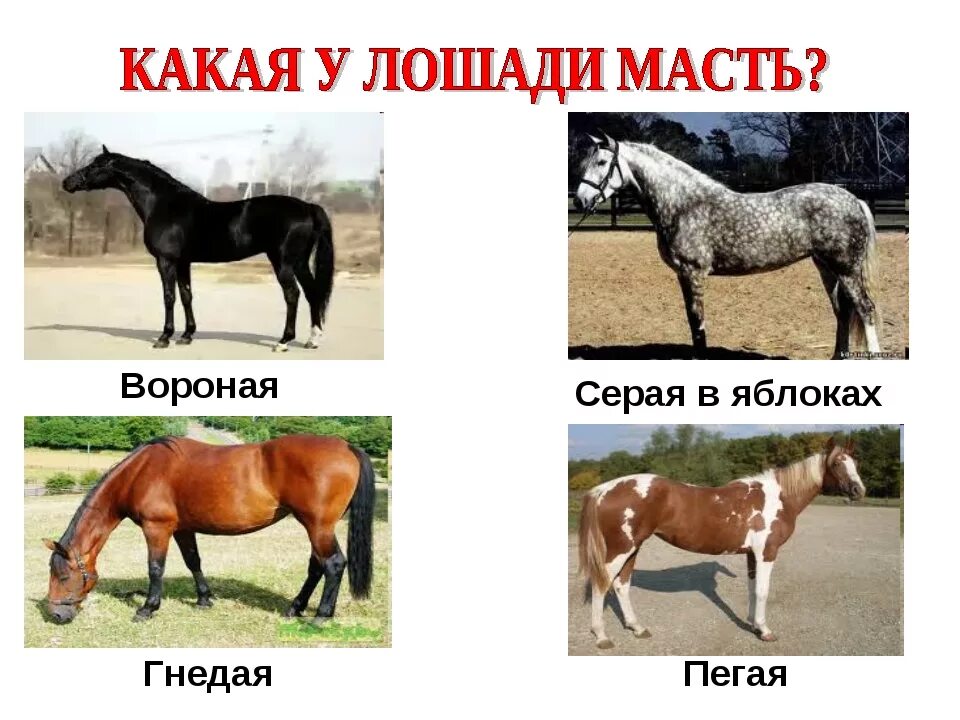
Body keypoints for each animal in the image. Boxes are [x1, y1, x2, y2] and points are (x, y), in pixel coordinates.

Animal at [43, 434, 374, 624]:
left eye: (63, 576)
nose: (56, 614)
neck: (141, 472)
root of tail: (347, 446)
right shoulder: (182, 529)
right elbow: (193, 561)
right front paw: (204, 599)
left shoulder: (157, 528)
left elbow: (155, 568)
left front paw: (147, 608)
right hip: (315, 526)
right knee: (317, 566)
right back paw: (295, 608)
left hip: (317, 526)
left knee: (333, 564)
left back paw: (321, 616)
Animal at [61, 146, 335, 352]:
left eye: (95, 166)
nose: (67, 182)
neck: (164, 205)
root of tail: (308, 207)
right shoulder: (183, 262)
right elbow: (186, 295)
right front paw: (186, 335)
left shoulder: (166, 261)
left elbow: (169, 296)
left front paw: (164, 337)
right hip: (299, 262)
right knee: (312, 293)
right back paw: (312, 340)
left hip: (283, 261)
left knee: (293, 294)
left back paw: (283, 341)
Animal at [572, 134, 882, 359]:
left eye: (602, 162)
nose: (579, 200)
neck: (684, 205)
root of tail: (854, 199)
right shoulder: (683, 275)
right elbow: (692, 321)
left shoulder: (693, 272)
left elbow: (697, 322)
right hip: (826, 267)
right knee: (843, 311)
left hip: (847, 269)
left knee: (865, 309)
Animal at [577, 437, 865, 649]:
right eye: (837, 463)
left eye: (854, 462)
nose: (858, 491)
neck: (779, 497)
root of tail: (603, 490)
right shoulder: (767, 552)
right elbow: (763, 591)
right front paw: (765, 631)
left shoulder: (752, 554)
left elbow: (752, 589)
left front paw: (753, 624)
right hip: (620, 549)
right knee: (602, 585)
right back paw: (602, 637)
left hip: (632, 548)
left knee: (622, 585)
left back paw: (637, 628)